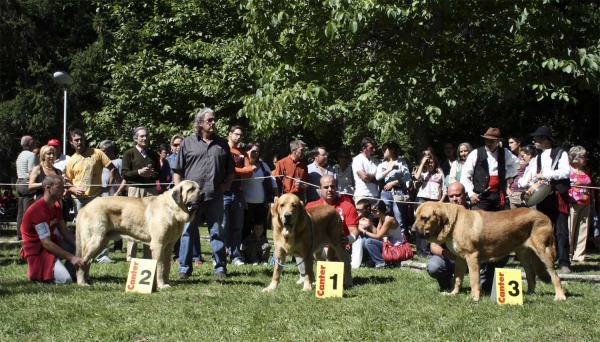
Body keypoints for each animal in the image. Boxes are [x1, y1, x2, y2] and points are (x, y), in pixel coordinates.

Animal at [76, 180, 204, 290]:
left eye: (199, 188)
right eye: (191, 189)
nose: (203, 193)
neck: (172, 209)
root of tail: (84, 207)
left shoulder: (168, 247)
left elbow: (167, 267)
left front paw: (166, 282)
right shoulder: (158, 245)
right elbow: (160, 266)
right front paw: (161, 285)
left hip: (101, 242)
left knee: (88, 262)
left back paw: (88, 280)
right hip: (96, 241)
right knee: (83, 262)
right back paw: (82, 283)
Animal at [412, 202, 568, 300]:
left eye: (424, 218)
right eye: (415, 217)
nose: (412, 231)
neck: (454, 223)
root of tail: (545, 216)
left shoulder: (472, 256)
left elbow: (474, 280)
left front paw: (474, 297)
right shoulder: (461, 259)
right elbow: (457, 279)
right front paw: (453, 293)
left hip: (544, 252)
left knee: (555, 277)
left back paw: (560, 296)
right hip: (523, 255)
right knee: (531, 275)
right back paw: (529, 294)